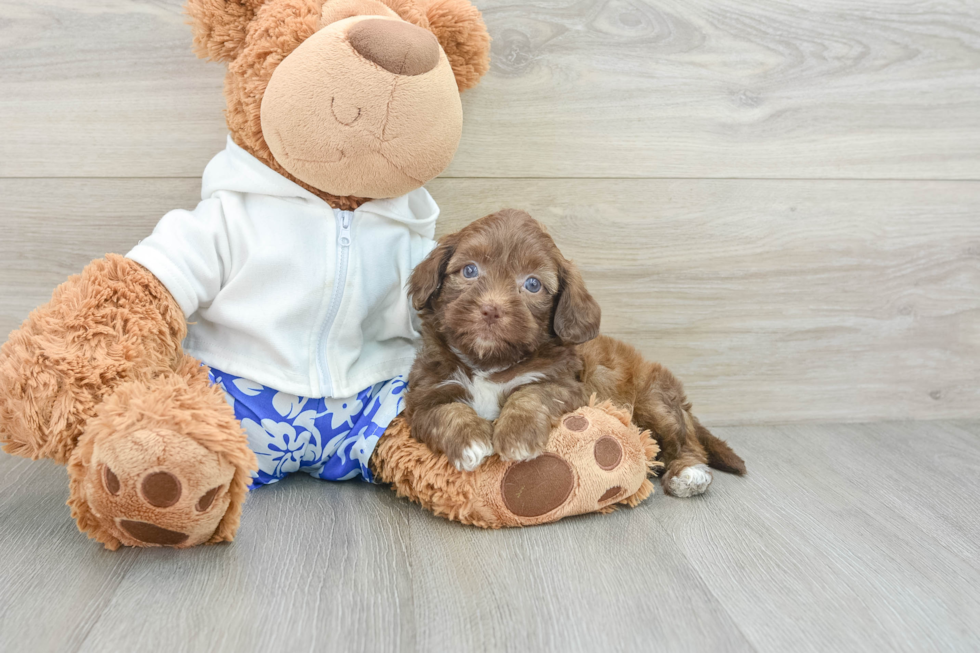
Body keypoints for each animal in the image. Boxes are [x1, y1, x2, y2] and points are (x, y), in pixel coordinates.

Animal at [402, 211, 748, 496]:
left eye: (533, 284)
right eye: (470, 270)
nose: (491, 309)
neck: (490, 362)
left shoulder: (566, 385)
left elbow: (531, 394)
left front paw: (516, 435)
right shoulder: (425, 394)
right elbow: (446, 411)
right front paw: (470, 441)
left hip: (655, 400)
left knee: (686, 442)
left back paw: (689, 473)